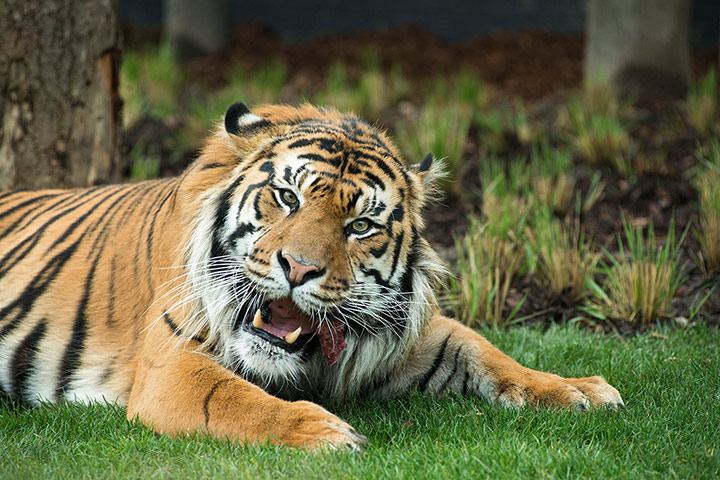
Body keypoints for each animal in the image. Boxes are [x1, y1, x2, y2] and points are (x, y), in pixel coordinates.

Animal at [0, 102, 620, 450]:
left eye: (360, 225)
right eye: (287, 197)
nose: (298, 268)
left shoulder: (402, 336)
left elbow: (482, 349)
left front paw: (577, 389)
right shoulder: (170, 363)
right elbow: (234, 398)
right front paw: (325, 433)